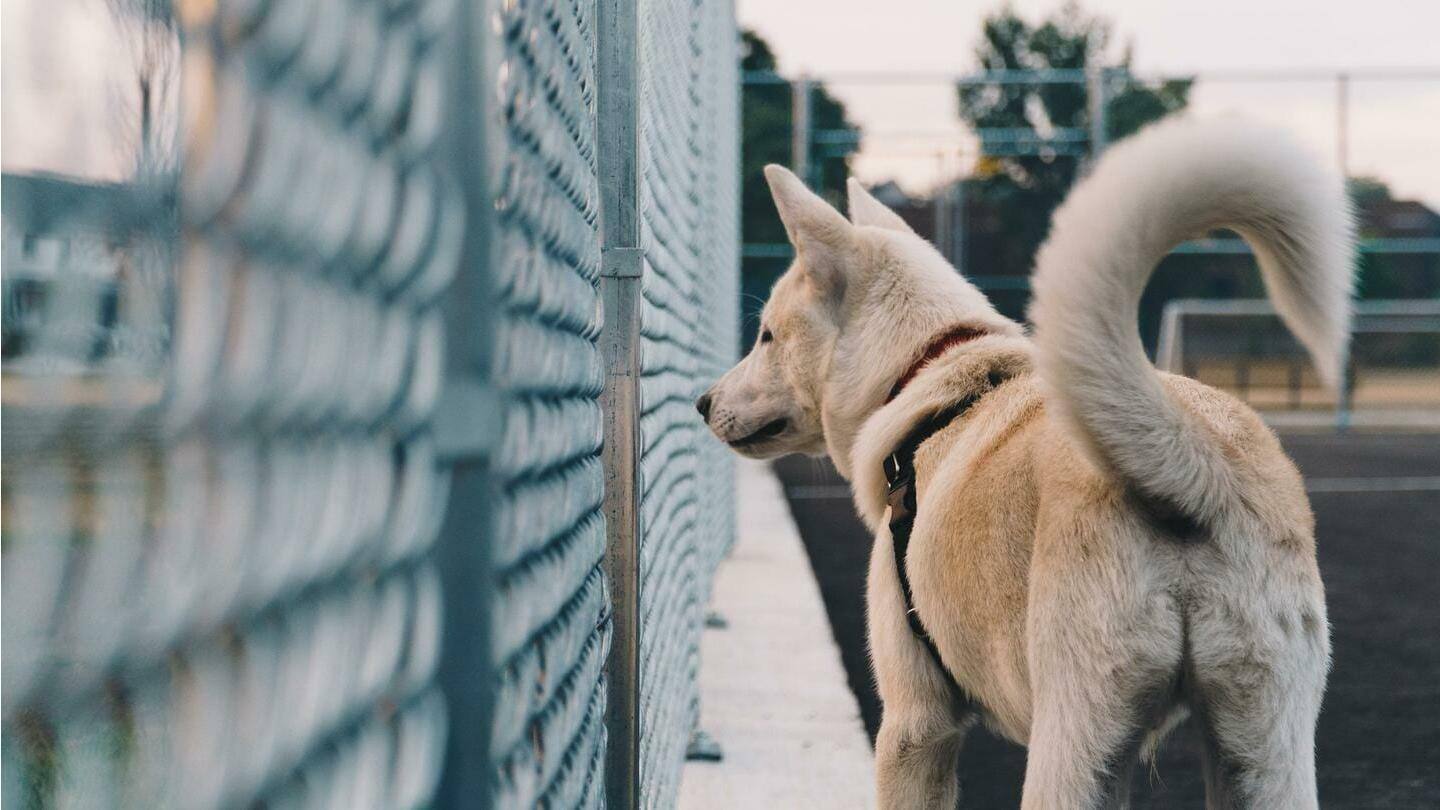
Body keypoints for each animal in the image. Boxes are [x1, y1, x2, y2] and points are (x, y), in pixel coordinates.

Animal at [696, 116, 1347, 801]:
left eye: (766, 335)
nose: (702, 403)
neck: (927, 370)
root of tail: (1194, 461)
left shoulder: (915, 726)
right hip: (1261, 749)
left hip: (1072, 745)